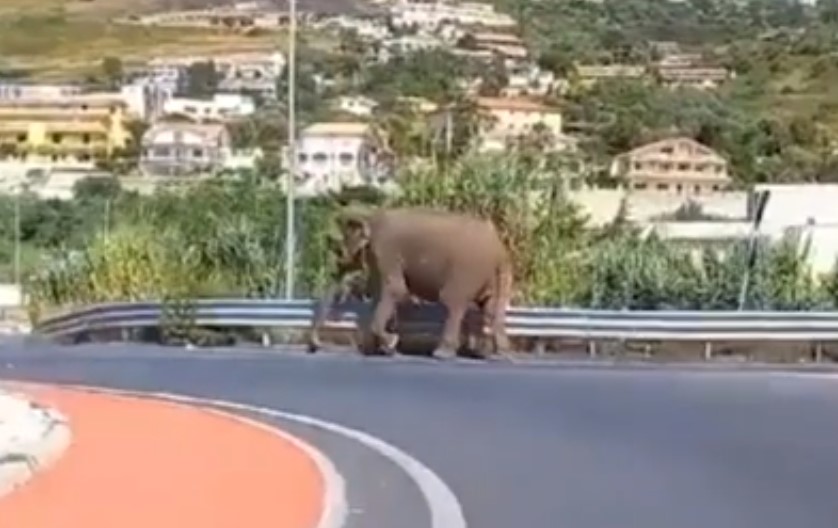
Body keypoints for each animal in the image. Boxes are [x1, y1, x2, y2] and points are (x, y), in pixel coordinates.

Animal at [312, 206, 516, 358]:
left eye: (337, 250)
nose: (315, 346)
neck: (370, 216)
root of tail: (499, 249)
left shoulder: (385, 249)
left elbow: (395, 289)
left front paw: (391, 344)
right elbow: (379, 292)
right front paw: (376, 350)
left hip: (467, 271)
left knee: (453, 302)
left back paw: (442, 354)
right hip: (492, 275)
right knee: (490, 306)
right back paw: (496, 354)